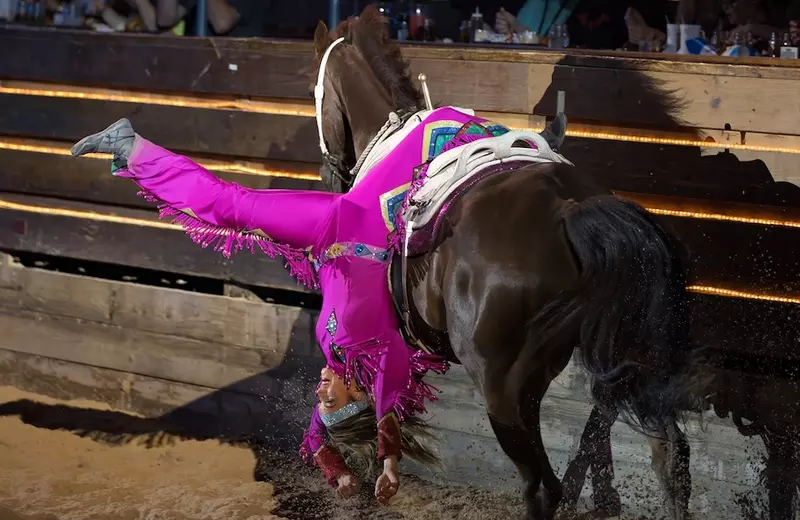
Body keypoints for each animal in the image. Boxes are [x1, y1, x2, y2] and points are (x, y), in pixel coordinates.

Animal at [310, 7, 699, 519]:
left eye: (313, 94)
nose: (328, 174)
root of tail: (568, 210)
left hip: (506, 391)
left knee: (542, 486)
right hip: (623, 363)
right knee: (668, 455)